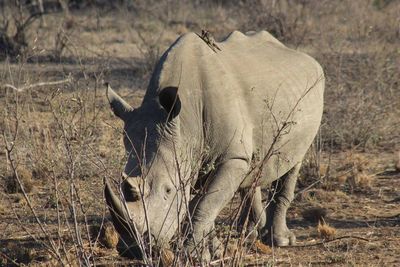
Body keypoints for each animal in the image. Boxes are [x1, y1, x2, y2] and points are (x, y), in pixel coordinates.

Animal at [104, 30, 324, 262]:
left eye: (168, 190)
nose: (132, 250)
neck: (184, 123)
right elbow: (206, 204)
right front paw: (213, 252)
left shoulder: (231, 157)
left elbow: (203, 205)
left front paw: (194, 256)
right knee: (252, 168)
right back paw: (249, 233)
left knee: (293, 163)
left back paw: (279, 241)